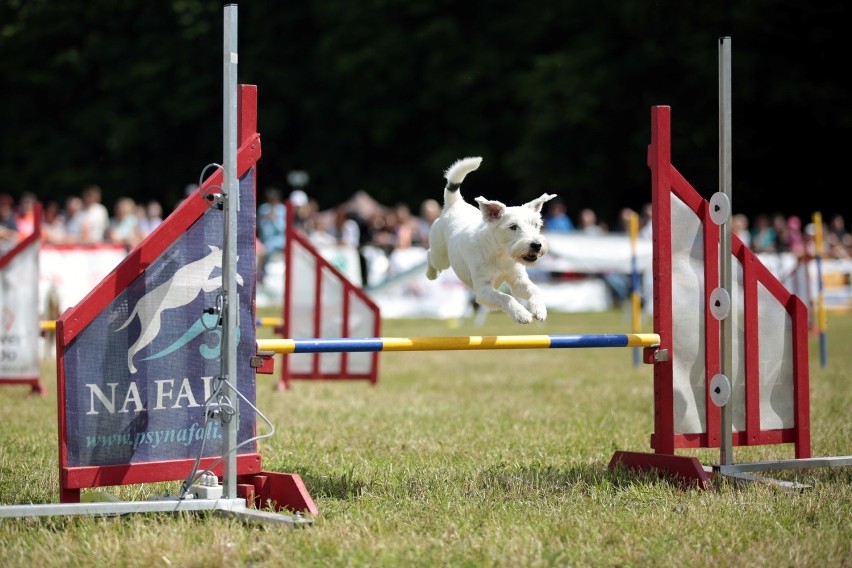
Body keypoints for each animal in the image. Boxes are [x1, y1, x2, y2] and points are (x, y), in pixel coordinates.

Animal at [426, 155, 560, 324]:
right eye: (513, 227)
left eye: (536, 224)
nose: (536, 245)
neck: (501, 255)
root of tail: (455, 203)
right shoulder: (483, 290)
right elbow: (505, 297)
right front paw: (521, 314)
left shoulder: (518, 281)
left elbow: (534, 289)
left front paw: (539, 309)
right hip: (441, 256)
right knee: (430, 255)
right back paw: (431, 274)